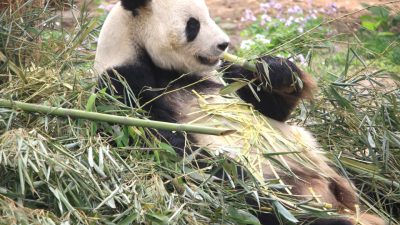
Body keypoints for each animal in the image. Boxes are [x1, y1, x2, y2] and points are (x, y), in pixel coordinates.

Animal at [93, 0, 384, 224]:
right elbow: (172, 149)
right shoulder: (121, 87)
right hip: (292, 201)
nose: (224, 44)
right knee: (281, 212)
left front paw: (275, 70)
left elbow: (268, 107)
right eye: (193, 25)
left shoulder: (215, 77)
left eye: (209, 14)